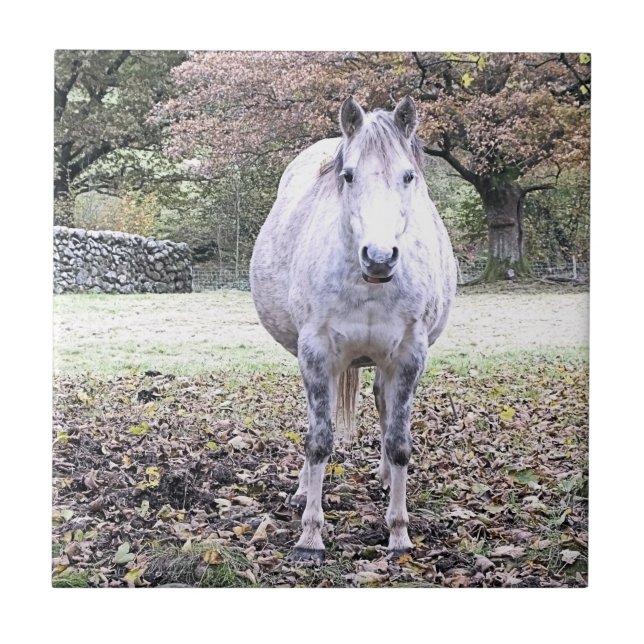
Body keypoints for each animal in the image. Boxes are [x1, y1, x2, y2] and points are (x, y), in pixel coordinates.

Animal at [250, 96, 457, 560]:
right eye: (348, 175)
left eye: (408, 175)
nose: (379, 258)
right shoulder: (316, 353)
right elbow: (319, 439)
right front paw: (310, 536)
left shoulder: (409, 356)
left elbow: (399, 442)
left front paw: (398, 534)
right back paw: (302, 489)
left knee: (383, 405)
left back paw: (383, 478)